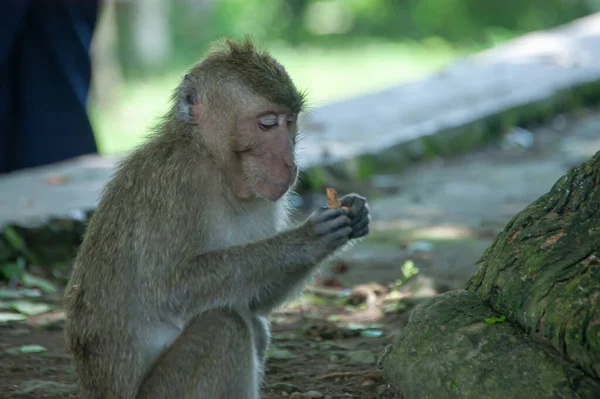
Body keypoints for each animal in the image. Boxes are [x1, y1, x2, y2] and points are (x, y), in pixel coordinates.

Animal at [63, 38, 368, 399]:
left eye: (291, 120)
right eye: (267, 123)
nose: (289, 163)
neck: (215, 163)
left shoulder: (264, 198)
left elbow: (257, 301)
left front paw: (354, 213)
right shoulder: (181, 180)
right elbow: (172, 290)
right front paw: (308, 239)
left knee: (251, 321)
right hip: (161, 392)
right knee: (223, 327)